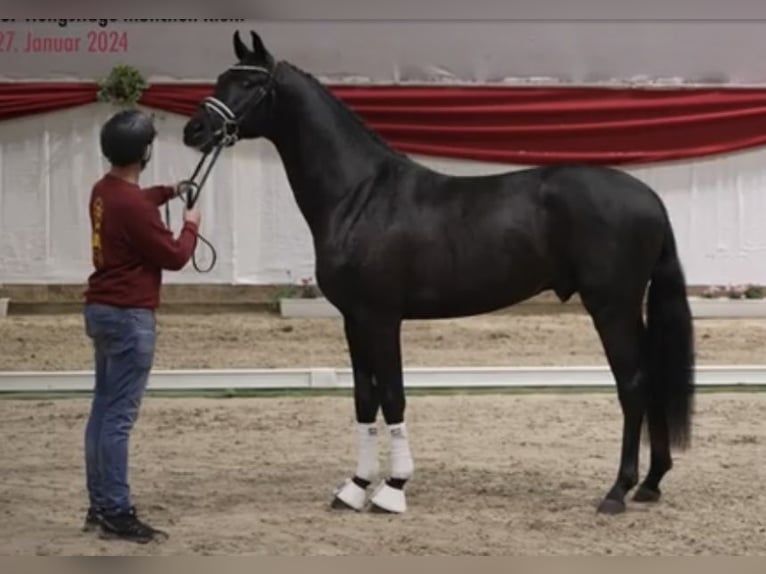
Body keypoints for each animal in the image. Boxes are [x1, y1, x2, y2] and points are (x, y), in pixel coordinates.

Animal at [184, 30, 696, 516]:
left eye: (251, 84)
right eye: (221, 78)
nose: (195, 129)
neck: (359, 194)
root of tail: (650, 198)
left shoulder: (381, 317)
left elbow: (393, 395)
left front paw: (392, 489)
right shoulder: (353, 319)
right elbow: (364, 398)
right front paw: (355, 487)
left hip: (611, 306)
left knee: (633, 384)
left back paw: (618, 490)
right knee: (651, 377)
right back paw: (651, 483)